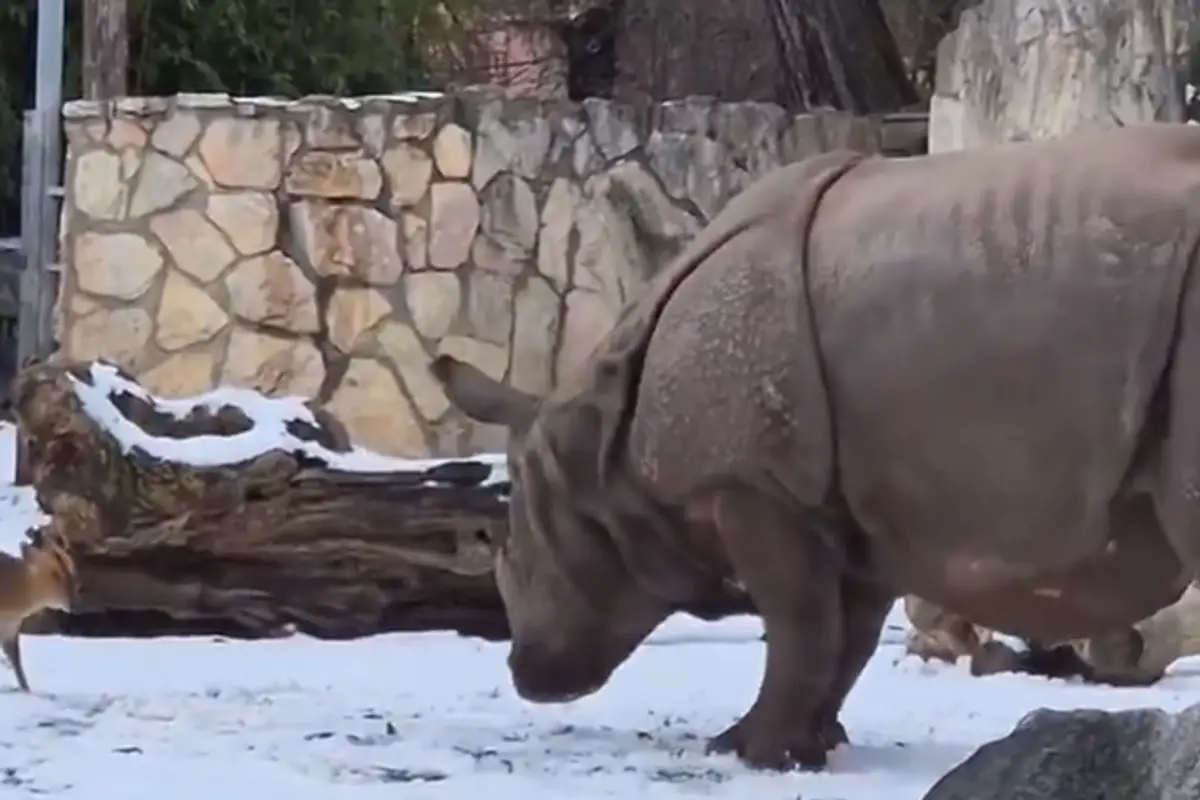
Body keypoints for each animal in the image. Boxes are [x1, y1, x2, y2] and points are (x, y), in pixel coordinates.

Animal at [430, 123, 1200, 772]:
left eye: (520, 552)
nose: (529, 675)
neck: (597, 440)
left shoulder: (753, 485)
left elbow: (800, 624)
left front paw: (753, 754)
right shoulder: (863, 498)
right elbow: (844, 636)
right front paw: (810, 746)